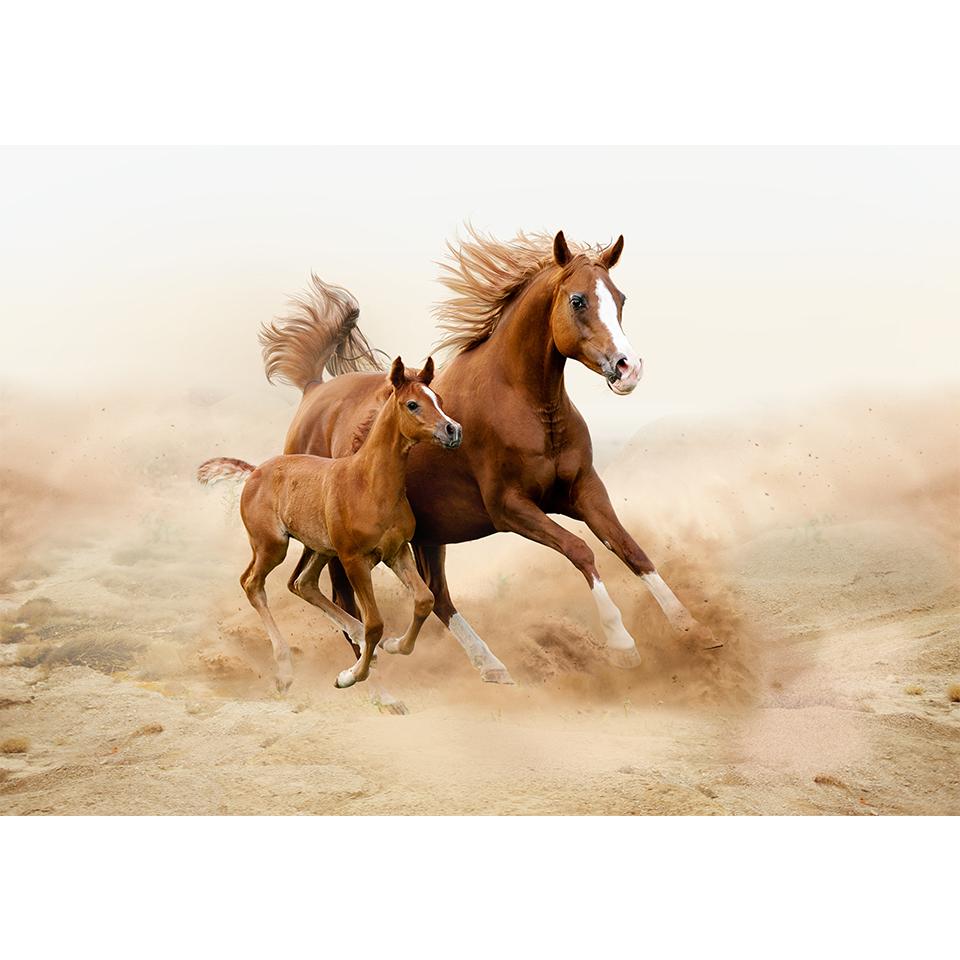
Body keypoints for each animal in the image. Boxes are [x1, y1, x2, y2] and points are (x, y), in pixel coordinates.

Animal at [197, 356, 461, 692]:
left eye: (437, 398)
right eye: (412, 404)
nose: (453, 430)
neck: (369, 484)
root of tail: (255, 471)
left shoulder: (396, 552)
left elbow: (424, 600)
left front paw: (393, 646)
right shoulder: (353, 560)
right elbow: (375, 623)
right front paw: (349, 676)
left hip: (320, 548)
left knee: (303, 583)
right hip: (273, 546)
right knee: (252, 583)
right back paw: (285, 668)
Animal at [260, 229, 719, 686]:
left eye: (620, 298)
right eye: (578, 300)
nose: (628, 368)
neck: (526, 405)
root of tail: (314, 390)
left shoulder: (584, 490)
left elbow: (630, 548)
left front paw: (693, 629)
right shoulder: (510, 508)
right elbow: (581, 551)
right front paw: (622, 645)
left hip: (427, 535)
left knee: (436, 596)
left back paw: (489, 665)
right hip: (344, 541)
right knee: (338, 595)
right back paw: (368, 671)